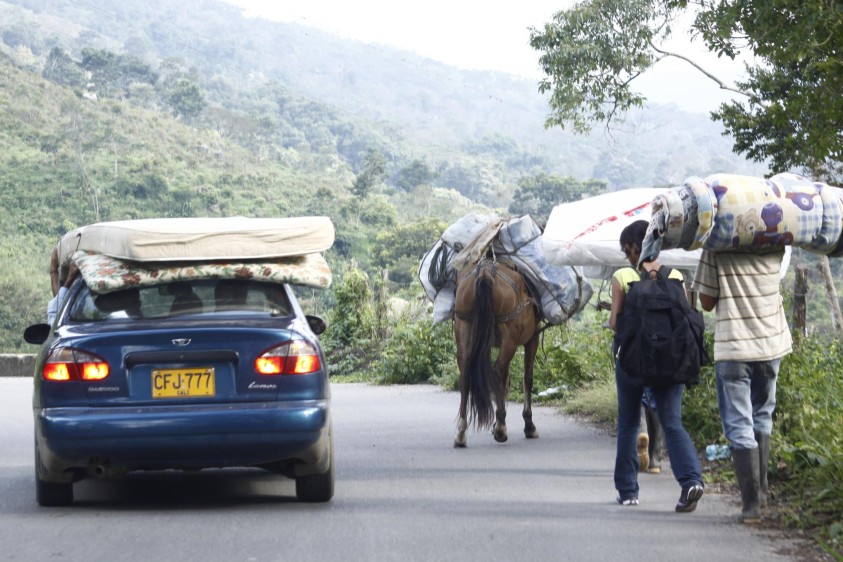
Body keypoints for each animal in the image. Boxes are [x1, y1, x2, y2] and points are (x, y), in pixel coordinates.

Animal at [454, 256, 540, 444]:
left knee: (465, 374)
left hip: (464, 327)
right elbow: (527, 378)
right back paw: (501, 429)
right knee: (498, 371)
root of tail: (486, 273)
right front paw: (529, 425)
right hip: (511, 340)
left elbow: (507, 380)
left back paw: (461, 432)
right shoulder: (532, 339)